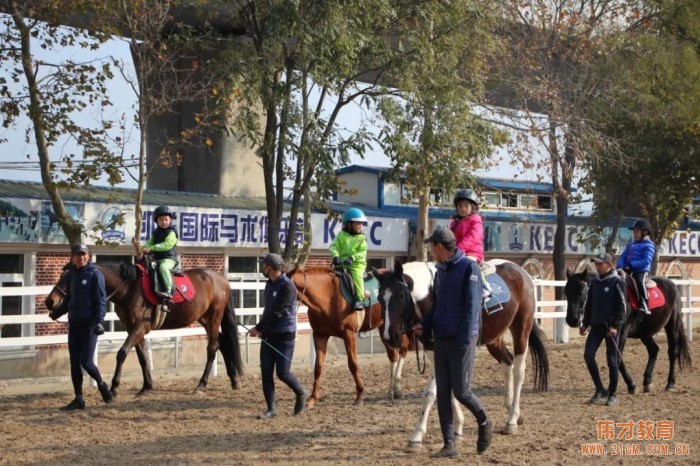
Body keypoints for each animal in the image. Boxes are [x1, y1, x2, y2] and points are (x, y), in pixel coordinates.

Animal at [44, 262, 243, 396]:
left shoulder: (140, 327)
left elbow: (122, 353)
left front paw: (114, 386)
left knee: (212, 349)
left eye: (71, 278)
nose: (50, 301)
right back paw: (233, 380)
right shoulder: (133, 328)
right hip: (205, 319)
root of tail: (222, 279)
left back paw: (202, 384)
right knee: (223, 344)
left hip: (214, 317)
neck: (129, 287)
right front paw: (146, 386)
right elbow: (142, 357)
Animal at [286, 266, 410, 408]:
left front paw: (359, 395)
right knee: (392, 355)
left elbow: (353, 364)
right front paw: (313, 398)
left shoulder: (348, 334)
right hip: (384, 328)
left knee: (403, 348)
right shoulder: (320, 335)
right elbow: (318, 367)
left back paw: (397, 389)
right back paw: (391, 391)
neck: (329, 297)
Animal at [374, 260, 548, 442]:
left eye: (401, 295)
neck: (433, 298)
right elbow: (450, 389)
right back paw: (514, 410)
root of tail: (522, 272)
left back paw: (512, 420)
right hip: (495, 338)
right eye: (380, 298)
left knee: (519, 371)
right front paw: (458, 428)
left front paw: (417, 434)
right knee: (507, 362)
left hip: (521, 329)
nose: (390, 336)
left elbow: (430, 393)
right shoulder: (434, 352)